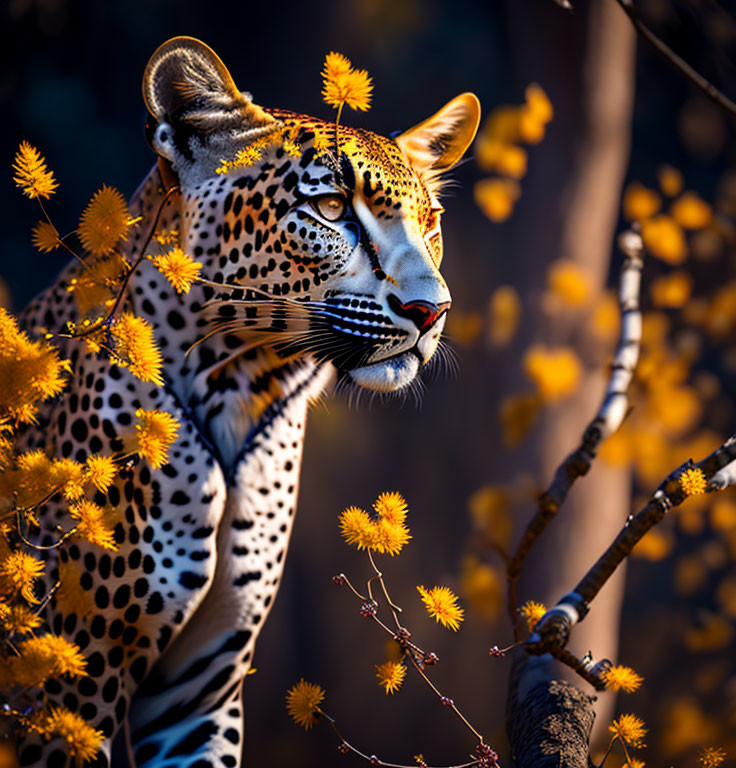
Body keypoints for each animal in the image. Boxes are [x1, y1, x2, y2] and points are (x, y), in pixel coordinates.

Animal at [14, 36, 480, 768]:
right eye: (331, 209)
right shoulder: (67, 686)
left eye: (430, 222)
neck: (247, 385)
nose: (430, 310)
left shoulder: (202, 687)